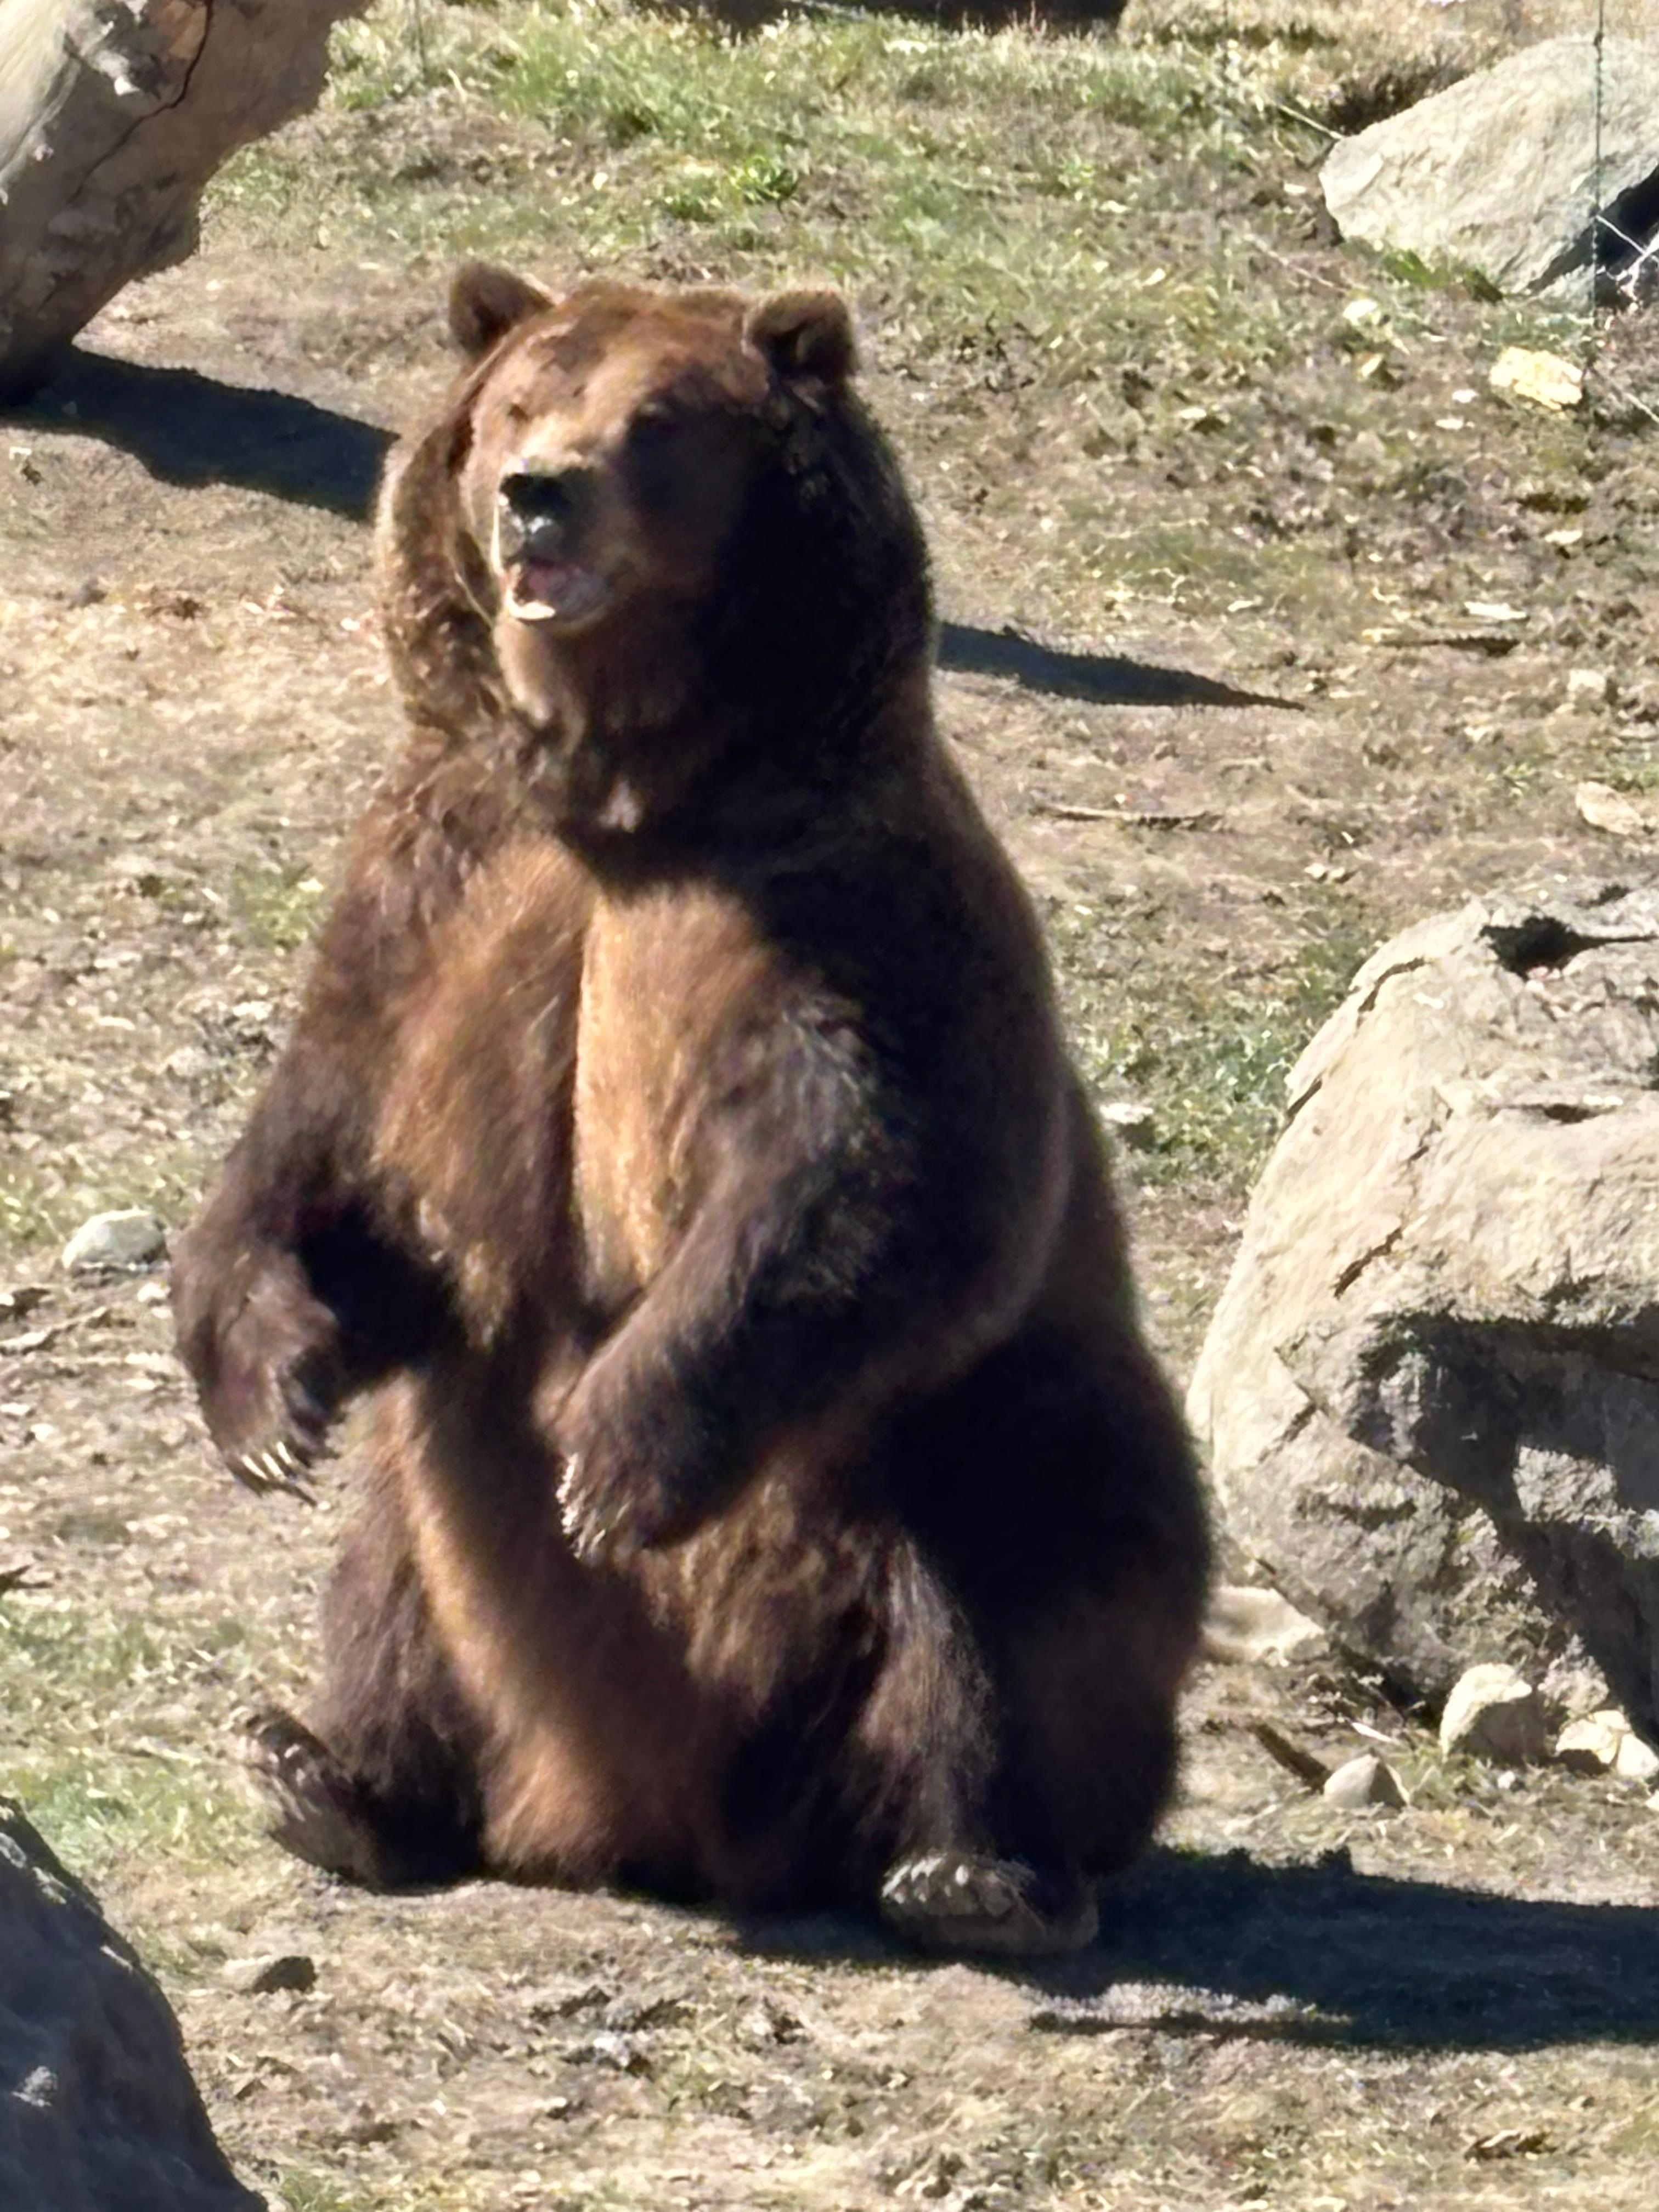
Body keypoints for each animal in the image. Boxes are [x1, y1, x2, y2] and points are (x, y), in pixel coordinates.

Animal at [170, 263, 1209, 1957]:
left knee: (1012, 1549)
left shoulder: (830, 921)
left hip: (939, 1460)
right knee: (397, 1566)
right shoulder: (445, 895)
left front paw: (615, 1455)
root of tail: (679, 1835)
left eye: (655, 422)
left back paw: (979, 1869)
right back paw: (327, 1770)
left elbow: (878, 1186)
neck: (626, 790)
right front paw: (267, 1397)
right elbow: (338, 1150)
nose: (537, 494)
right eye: (522, 402)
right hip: (475, 1587)